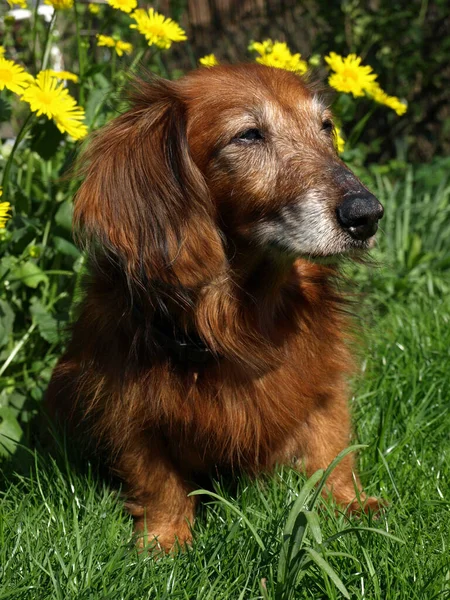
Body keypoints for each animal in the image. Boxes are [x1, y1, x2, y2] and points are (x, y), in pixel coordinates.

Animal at [47, 63, 384, 552]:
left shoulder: (324, 385)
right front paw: (165, 539)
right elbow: (155, 475)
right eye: (248, 135)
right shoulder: (128, 408)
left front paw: (349, 505)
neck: (242, 318)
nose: (367, 214)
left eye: (326, 127)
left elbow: (330, 445)